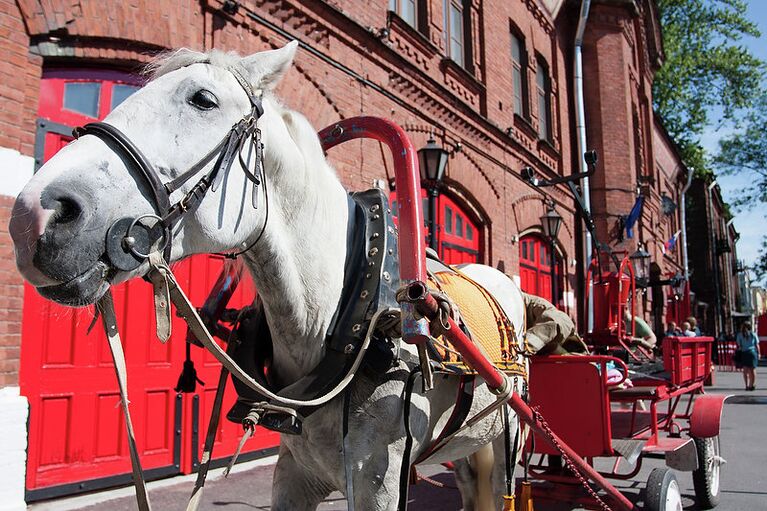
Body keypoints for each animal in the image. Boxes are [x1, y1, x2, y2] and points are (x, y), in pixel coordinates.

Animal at [10, 41, 528, 511]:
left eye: (203, 99)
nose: (32, 216)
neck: (344, 316)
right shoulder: (294, 473)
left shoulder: (379, 480)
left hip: (510, 441)